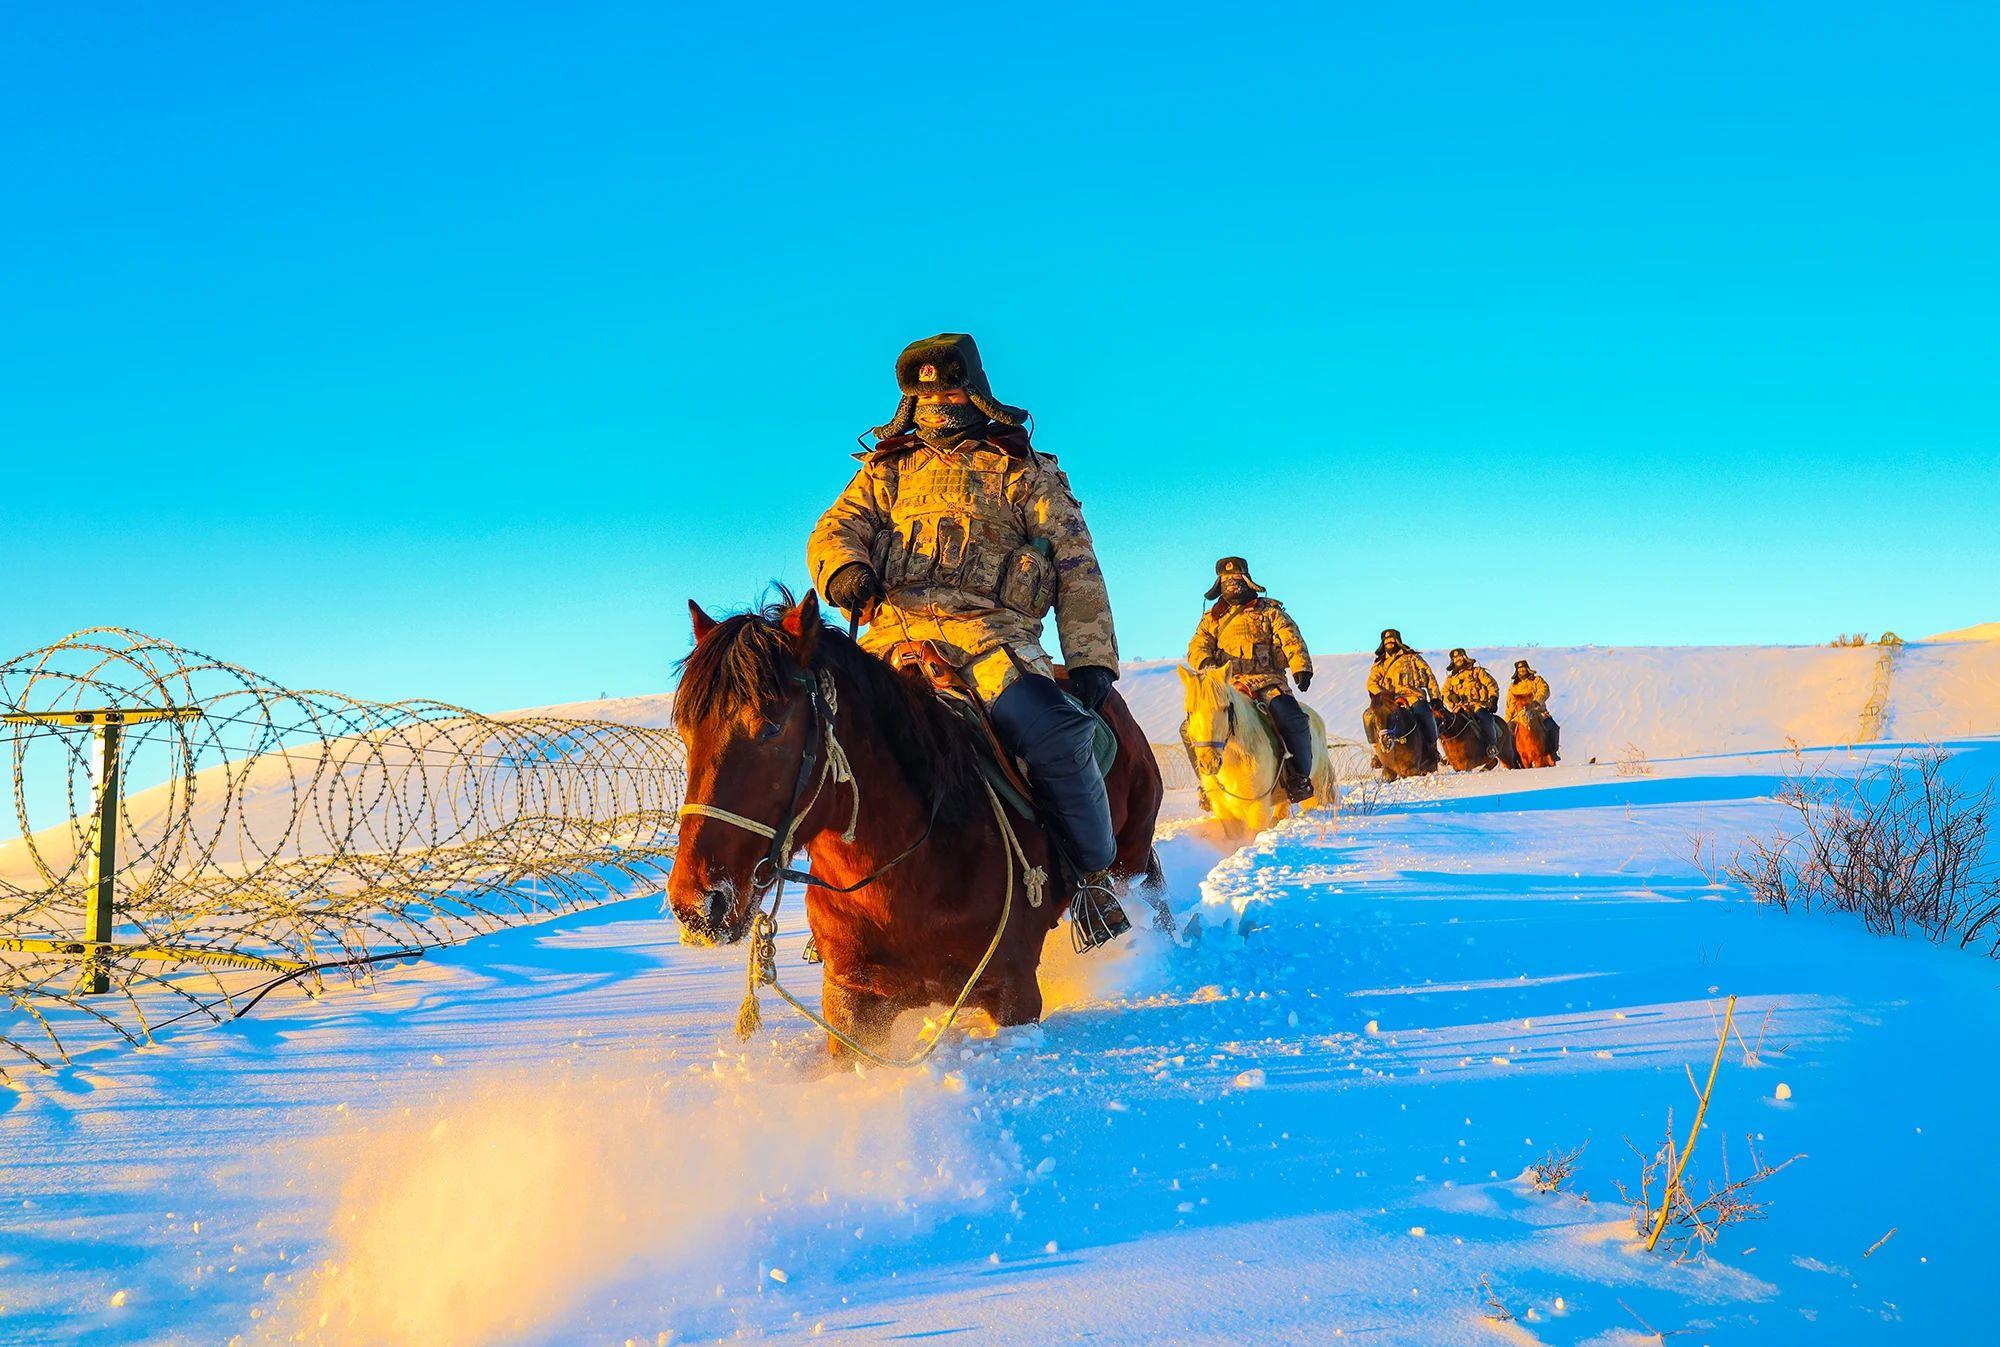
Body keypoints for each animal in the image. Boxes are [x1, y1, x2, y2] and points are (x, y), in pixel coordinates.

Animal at [664, 591, 1168, 1055]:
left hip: (1130, 853)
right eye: (686, 732)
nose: (696, 904)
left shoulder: (1014, 994)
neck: (907, 876)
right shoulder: (851, 1006)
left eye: (770, 726)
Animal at [1176, 659, 1336, 827]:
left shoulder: (1257, 806)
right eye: (1189, 712)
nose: (1209, 763)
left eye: (1225, 708)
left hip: (1316, 792)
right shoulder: (1224, 810)